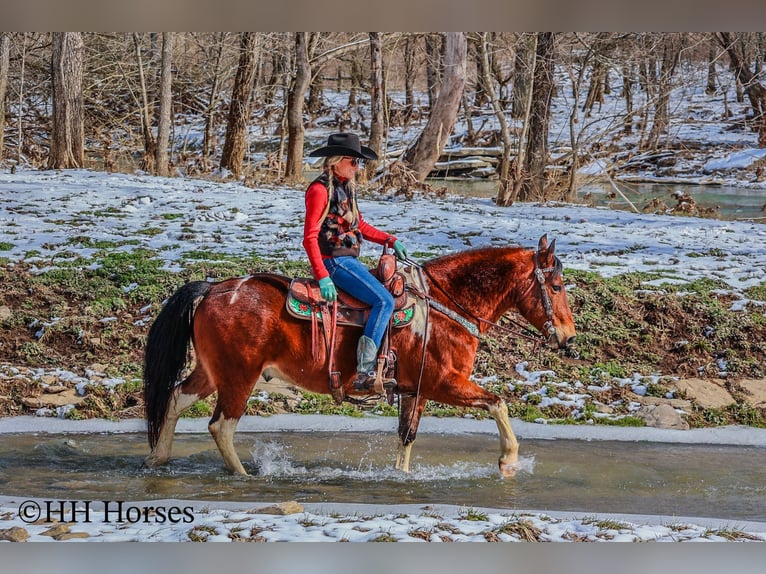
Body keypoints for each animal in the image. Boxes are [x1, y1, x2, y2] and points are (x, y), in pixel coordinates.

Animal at [142, 236, 576, 480]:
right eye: (555, 286)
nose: (569, 338)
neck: (444, 309)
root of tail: (213, 289)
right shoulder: (444, 384)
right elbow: (498, 403)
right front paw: (508, 461)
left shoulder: (415, 390)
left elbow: (406, 437)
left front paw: (400, 476)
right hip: (238, 377)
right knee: (221, 426)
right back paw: (243, 474)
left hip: (211, 372)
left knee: (176, 398)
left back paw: (158, 459)